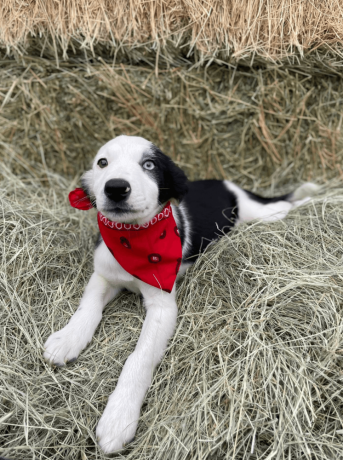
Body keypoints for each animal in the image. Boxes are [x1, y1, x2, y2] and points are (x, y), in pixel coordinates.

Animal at [43, 135, 320, 452]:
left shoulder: (163, 306)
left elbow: (138, 357)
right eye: (102, 163)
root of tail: (229, 184)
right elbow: (87, 308)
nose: (115, 187)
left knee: (286, 205)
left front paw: (118, 416)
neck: (132, 239)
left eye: (149, 165)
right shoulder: (102, 274)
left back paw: (314, 202)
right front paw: (67, 339)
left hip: (261, 214)